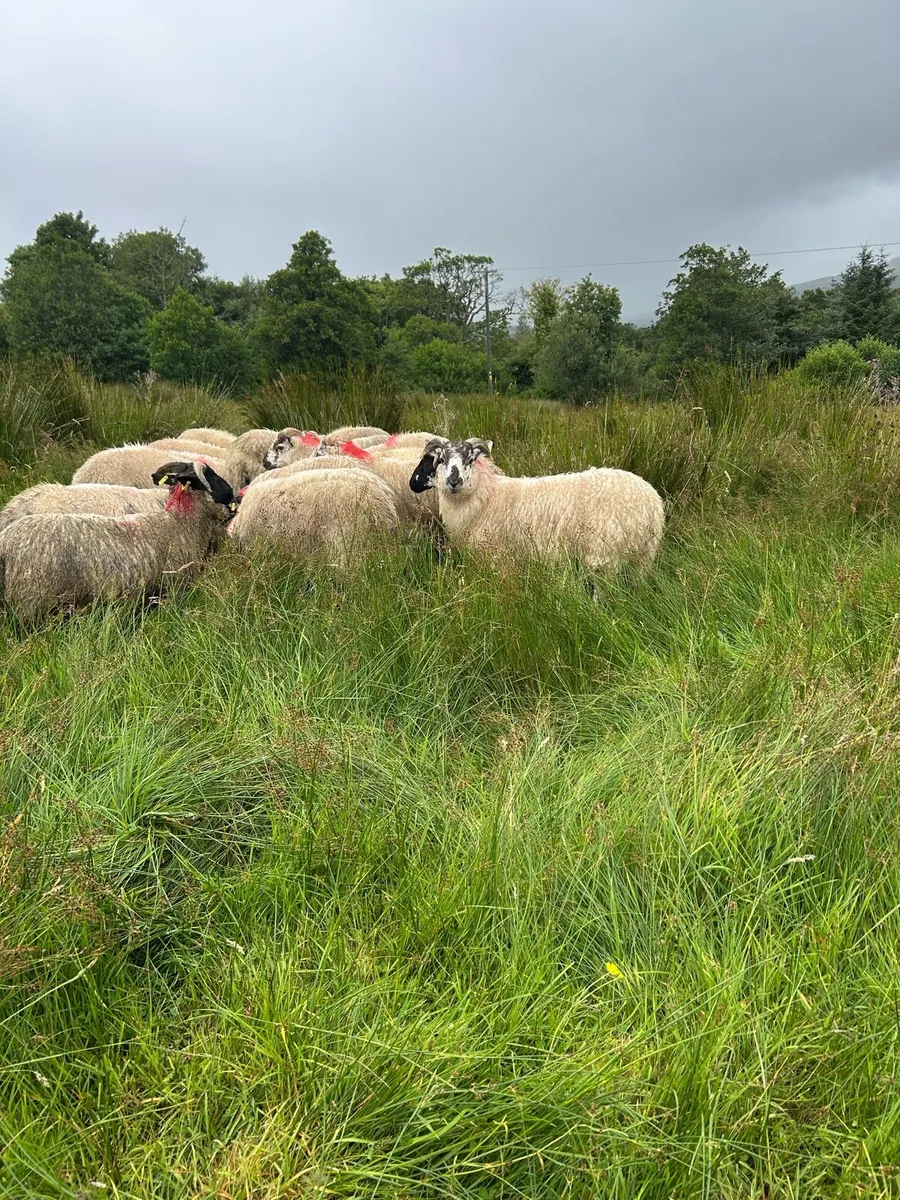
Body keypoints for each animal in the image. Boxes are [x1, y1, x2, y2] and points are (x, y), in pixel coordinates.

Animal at [410, 437, 664, 570]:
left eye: (471, 459)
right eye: (441, 459)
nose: (454, 481)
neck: (487, 497)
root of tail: (652, 503)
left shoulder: (495, 556)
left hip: (604, 556)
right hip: (643, 559)